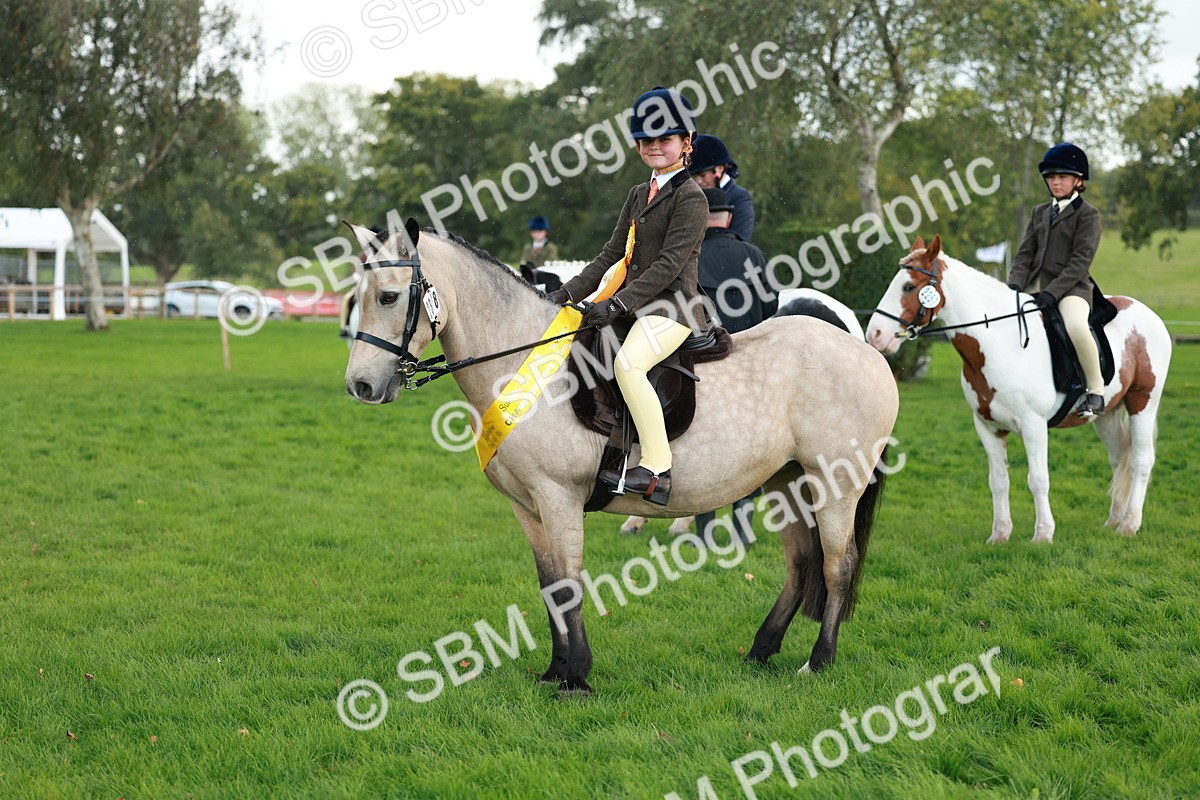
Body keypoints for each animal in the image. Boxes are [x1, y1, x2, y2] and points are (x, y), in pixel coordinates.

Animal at [866, 235, 1171, 543]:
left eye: (909, 286)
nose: (874, 335)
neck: (998, 342)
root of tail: (1150, 315)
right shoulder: (987, 427)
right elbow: (998, 481)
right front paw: (1000, 534)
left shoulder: (1033, 425)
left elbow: (1038, 479)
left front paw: (1043, 534)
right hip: (1106, 415)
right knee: (1119, 458)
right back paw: (1114, 521)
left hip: (1143, 402)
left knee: (1141, 461)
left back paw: (1129, 525)